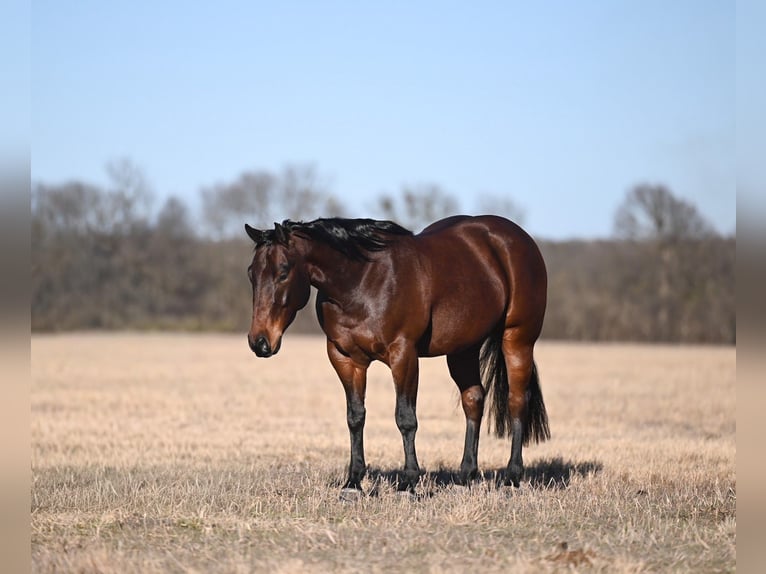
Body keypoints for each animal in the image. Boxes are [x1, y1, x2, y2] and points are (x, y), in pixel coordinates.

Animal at [244, 215, 549, 495]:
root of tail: (517, 238)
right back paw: (465, 477)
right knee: (473, 399)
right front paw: (353, 483)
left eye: (283, 272)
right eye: (251, 273)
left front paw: (408, 482)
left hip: (517, 339)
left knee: (517, 401)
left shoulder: (403, 355)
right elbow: (355, 417)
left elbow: (405, 418)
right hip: (463, 349)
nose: (260, 342)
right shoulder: (345, 358)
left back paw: (512, 478)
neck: (361, 281)